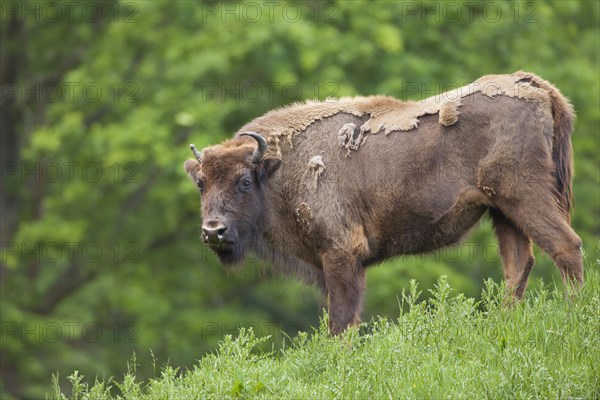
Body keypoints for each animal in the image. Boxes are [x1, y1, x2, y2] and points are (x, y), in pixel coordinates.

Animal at [186, 72, 580, 334]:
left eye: (244, 181)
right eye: (201, 184)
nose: (213, 231)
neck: (279, 167)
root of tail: (529, 84)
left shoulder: (341, 253)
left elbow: (342, 320)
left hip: (524, 196)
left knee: (566, 246)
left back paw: (574, 314)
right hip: (503, 211)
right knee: (518, 265)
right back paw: (503, 325)